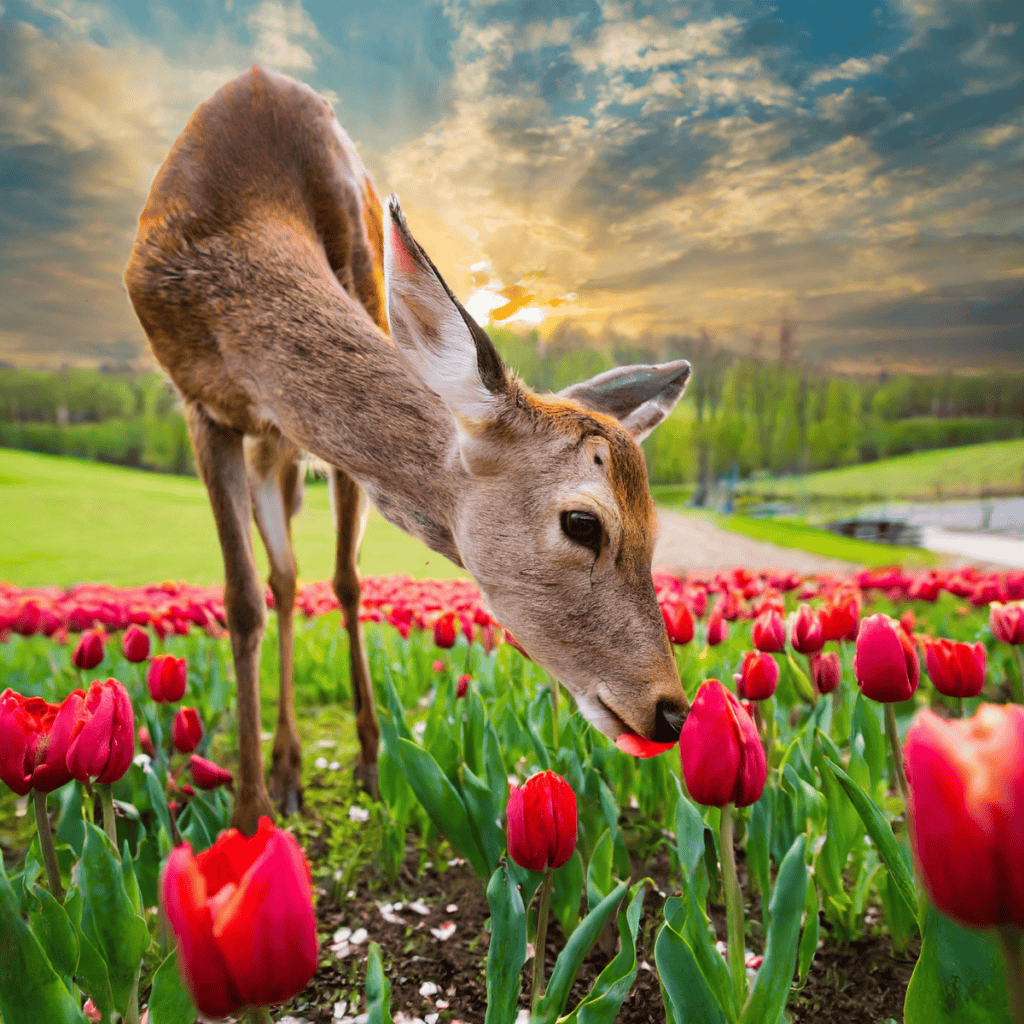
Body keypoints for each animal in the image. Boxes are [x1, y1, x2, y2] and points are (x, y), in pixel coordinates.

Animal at [125, 65, 693, 836]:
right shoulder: (199, 403)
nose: (671, 711)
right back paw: (285, 770)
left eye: (657, 530)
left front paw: (361, 760)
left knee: (308, 576)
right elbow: (240, 601)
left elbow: (347, 580)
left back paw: (316, 761)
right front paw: (248, 817)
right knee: (279, 579)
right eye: (583, 522)